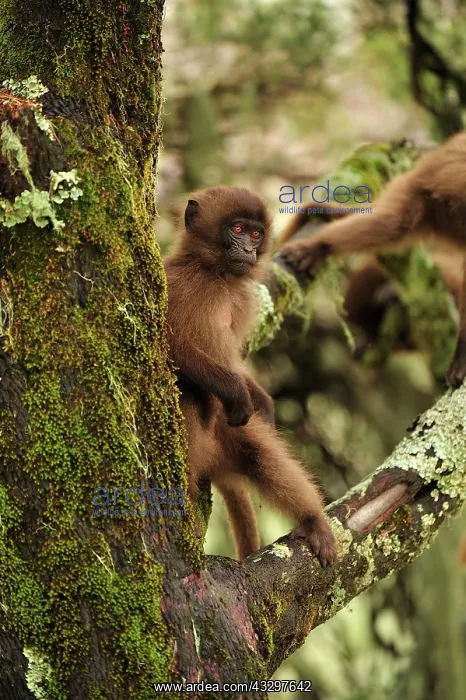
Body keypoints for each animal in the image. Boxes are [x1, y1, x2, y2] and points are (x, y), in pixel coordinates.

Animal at [164, 186, 337, 566]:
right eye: (238, 230)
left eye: (256, 234)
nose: (247, 250)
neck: (215, 275)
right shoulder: (179, 285)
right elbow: (171, 347)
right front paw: (237, 392)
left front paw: (262, 399)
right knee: (192, 396)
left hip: (229, 434)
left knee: (261, 456)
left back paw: (313, 520)